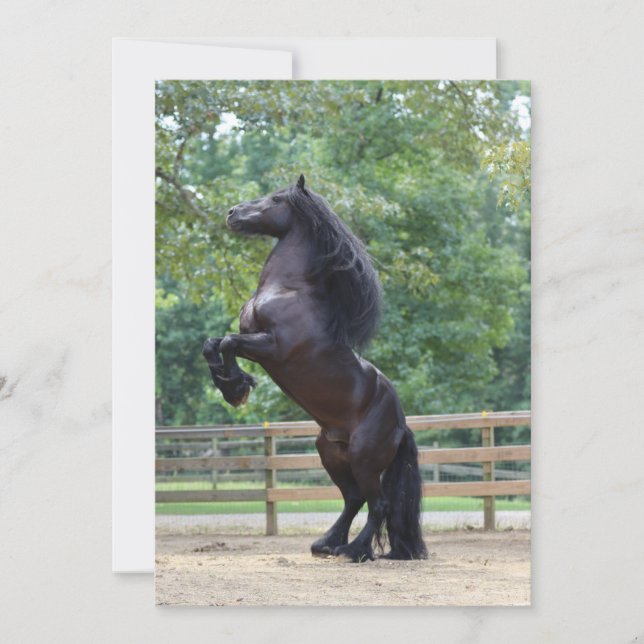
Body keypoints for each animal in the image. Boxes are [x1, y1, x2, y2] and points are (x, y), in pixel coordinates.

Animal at [202, 175, 427, 562]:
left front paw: (237, 388)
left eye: (276, 199)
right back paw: (326, 544)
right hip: (331, 452)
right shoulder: (254, 340)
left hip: (364, 458)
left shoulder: (273, 347)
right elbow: (212, 344)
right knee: (354, 498)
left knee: (378, 504)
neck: (289, 289)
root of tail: (401, 425)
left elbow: (229, 341)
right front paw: (232, 383)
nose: (232, 213)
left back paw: (354, 550)